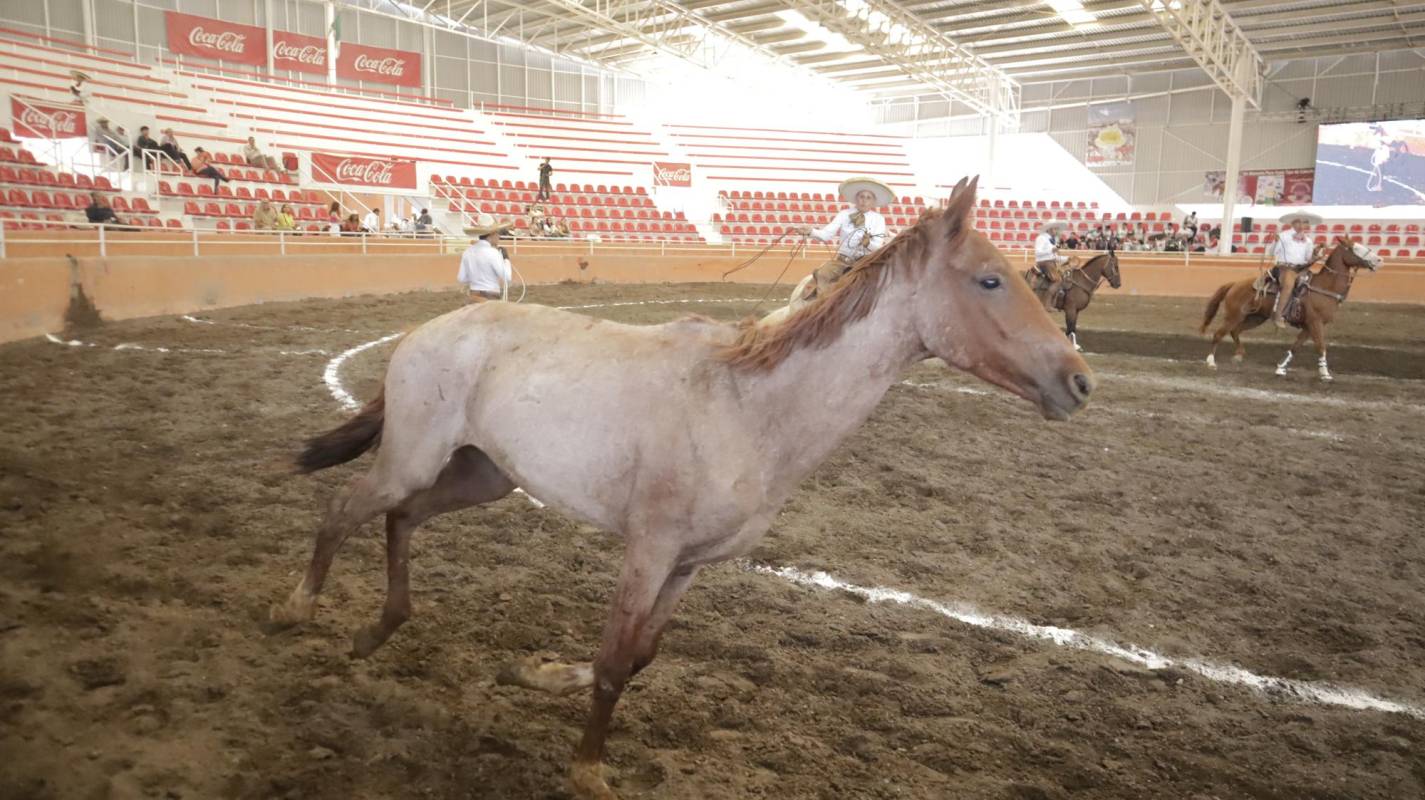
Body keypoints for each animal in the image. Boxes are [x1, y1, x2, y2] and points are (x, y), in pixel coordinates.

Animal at [267, 176, 1088, 798]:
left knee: (400, 520)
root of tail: (425, 332)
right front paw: (587, 769)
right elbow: (611, 660)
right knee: (345, 509)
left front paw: (535, 674)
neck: (746, 407)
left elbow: (638, 658)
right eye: (989, 279)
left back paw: (378, 630)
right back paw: (296, 609)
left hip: (481, 476)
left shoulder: (690, 565)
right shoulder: (649, 548)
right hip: (416, 457)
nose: (1079, 382)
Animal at [1197, 235, 1385, 379]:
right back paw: (1211, 362)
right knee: (1219, 334)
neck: (1325, 287)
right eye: (1354, 248)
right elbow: (1321, 346)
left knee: (1234, 331)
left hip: (1256, 318)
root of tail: (1234, 284)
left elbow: (1296, 347)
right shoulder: (1315, 323)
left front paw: (1281, 368)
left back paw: (1238, 355)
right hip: (1234, 315)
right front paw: (1325, 373)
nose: (1379, 259)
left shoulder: (1309, 326)